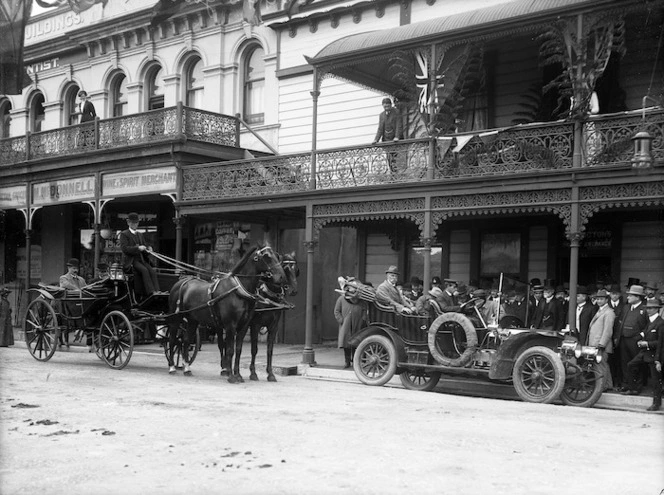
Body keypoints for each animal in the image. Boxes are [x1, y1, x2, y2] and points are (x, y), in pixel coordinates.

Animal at [166, 244, 286, 384]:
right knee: (172, 340)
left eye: (277, 256)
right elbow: (230, 349)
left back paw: (187, 369)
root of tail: (182, 282)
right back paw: (172, 367)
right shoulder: (232, 325)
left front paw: (238, 375)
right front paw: (232, 376)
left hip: (192, 320)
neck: (239, 291)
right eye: (266, 256)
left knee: (185, 340)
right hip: (176, 318)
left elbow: (238, 350)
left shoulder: (245, 326)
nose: (281, 277)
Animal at [248, 252, 300, 384]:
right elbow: (254, 349)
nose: (293, 290)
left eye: (296, 270)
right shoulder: (255, 326)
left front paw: (271, 374)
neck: (268, 297)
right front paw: (253, 373)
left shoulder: (273, 327)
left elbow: (270, 350)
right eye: (285, 268)